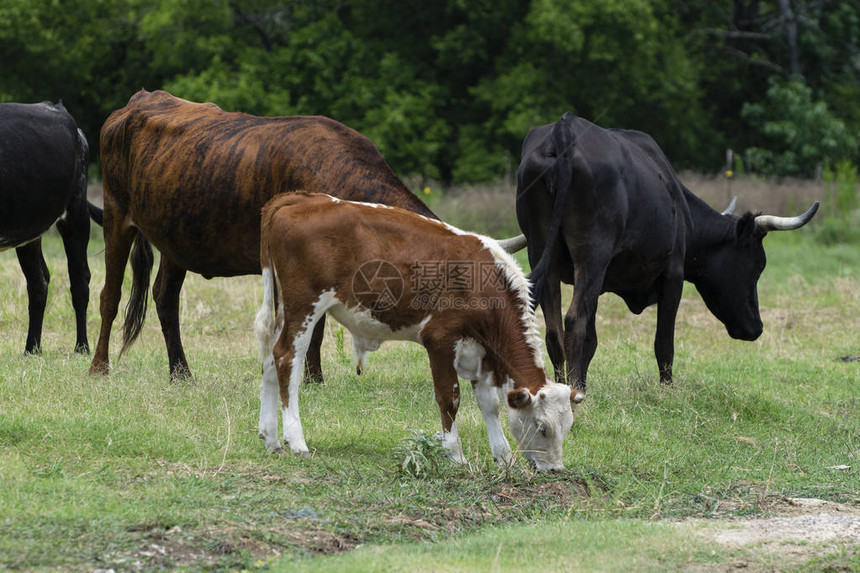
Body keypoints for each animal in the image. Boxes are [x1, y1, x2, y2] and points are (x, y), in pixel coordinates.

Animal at [0, 102, 94, 354]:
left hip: (76, 215)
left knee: (79, 281)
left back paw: (82, 347)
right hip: (29, 232)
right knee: (39, 282)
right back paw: (32, 348)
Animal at [89, 90, 532, 380]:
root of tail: (139, 100)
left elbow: (315, 327)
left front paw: (313, 376)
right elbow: (307, 326)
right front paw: (307, 376)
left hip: (176, 237)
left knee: (164, 297)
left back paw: (181, 372)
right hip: (116, 214)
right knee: (110, 294)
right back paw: (99, 366)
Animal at [252, 192, 580, 470]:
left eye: (567, 428)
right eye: (542, 427)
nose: (555, 470)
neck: (484, 282)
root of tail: (298, 199)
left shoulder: (482, 350)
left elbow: (490, 405)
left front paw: (502, 456)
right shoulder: (440, 340)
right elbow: (450, 398)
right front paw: (455, 454)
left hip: (282, 307)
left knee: (269, 360)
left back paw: (271, 438)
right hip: (304, 306)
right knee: (286, 360)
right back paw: (296, 441)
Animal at [516, 111, 820, 398]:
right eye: (757, 266)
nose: (756, 327)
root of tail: (564, 128)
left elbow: (592, 340)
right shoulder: (673, 275)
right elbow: (664, 342)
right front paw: (667, 390)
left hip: (542, 252)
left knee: (554, 331)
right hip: (592, 255)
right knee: (574, 321)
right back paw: (575, 390)